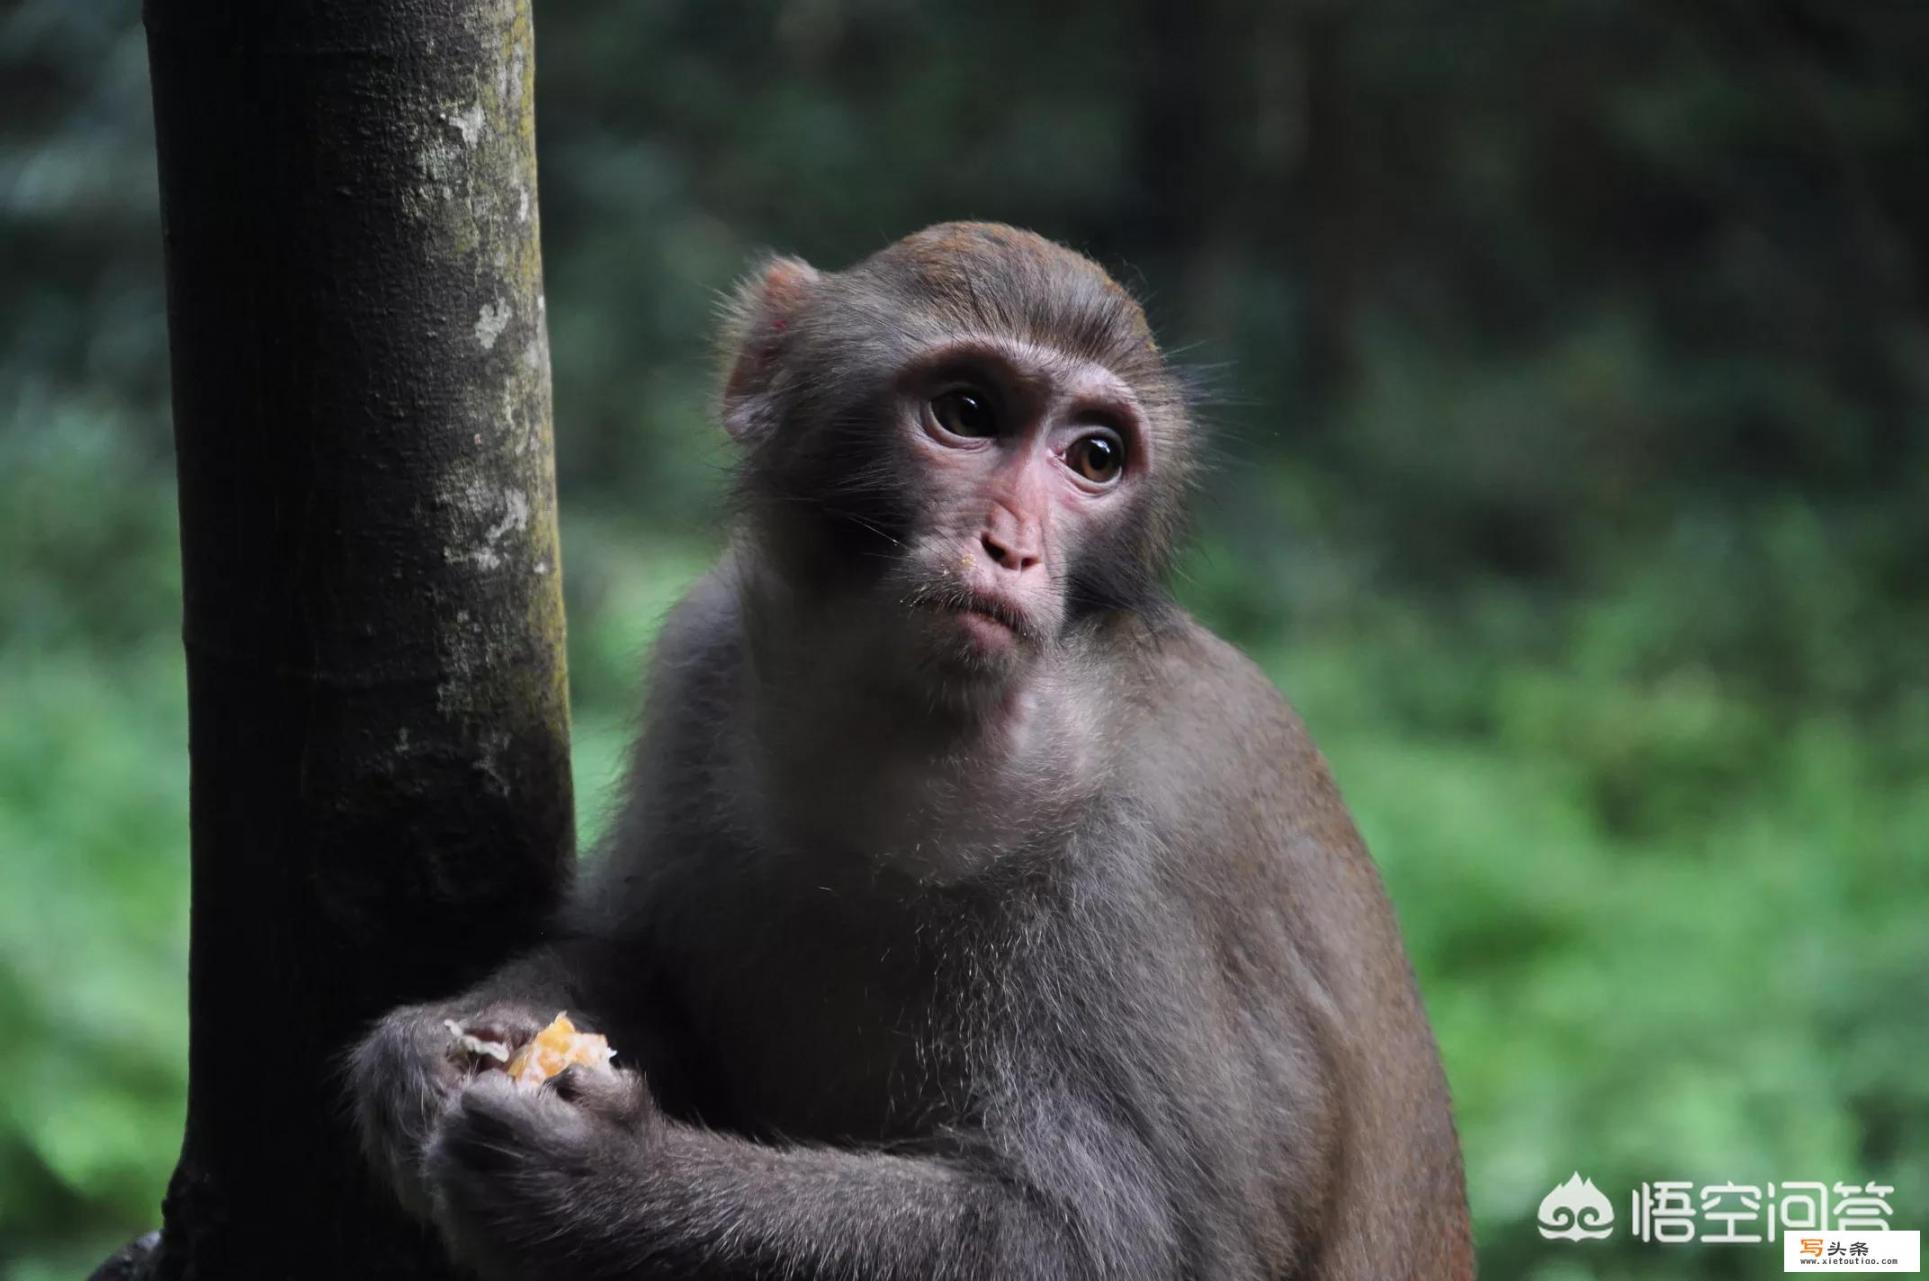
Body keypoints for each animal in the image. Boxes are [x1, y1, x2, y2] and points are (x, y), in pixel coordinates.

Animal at [343, 222, 1473, 1281]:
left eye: (1093, 458)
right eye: (967, 413)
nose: (1012, 547)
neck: (913, 722)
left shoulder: (1169, 826)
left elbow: (1120, 1239)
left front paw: (601, 1185)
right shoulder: (703, 659)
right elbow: (641, 966)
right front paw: (437, 1044)